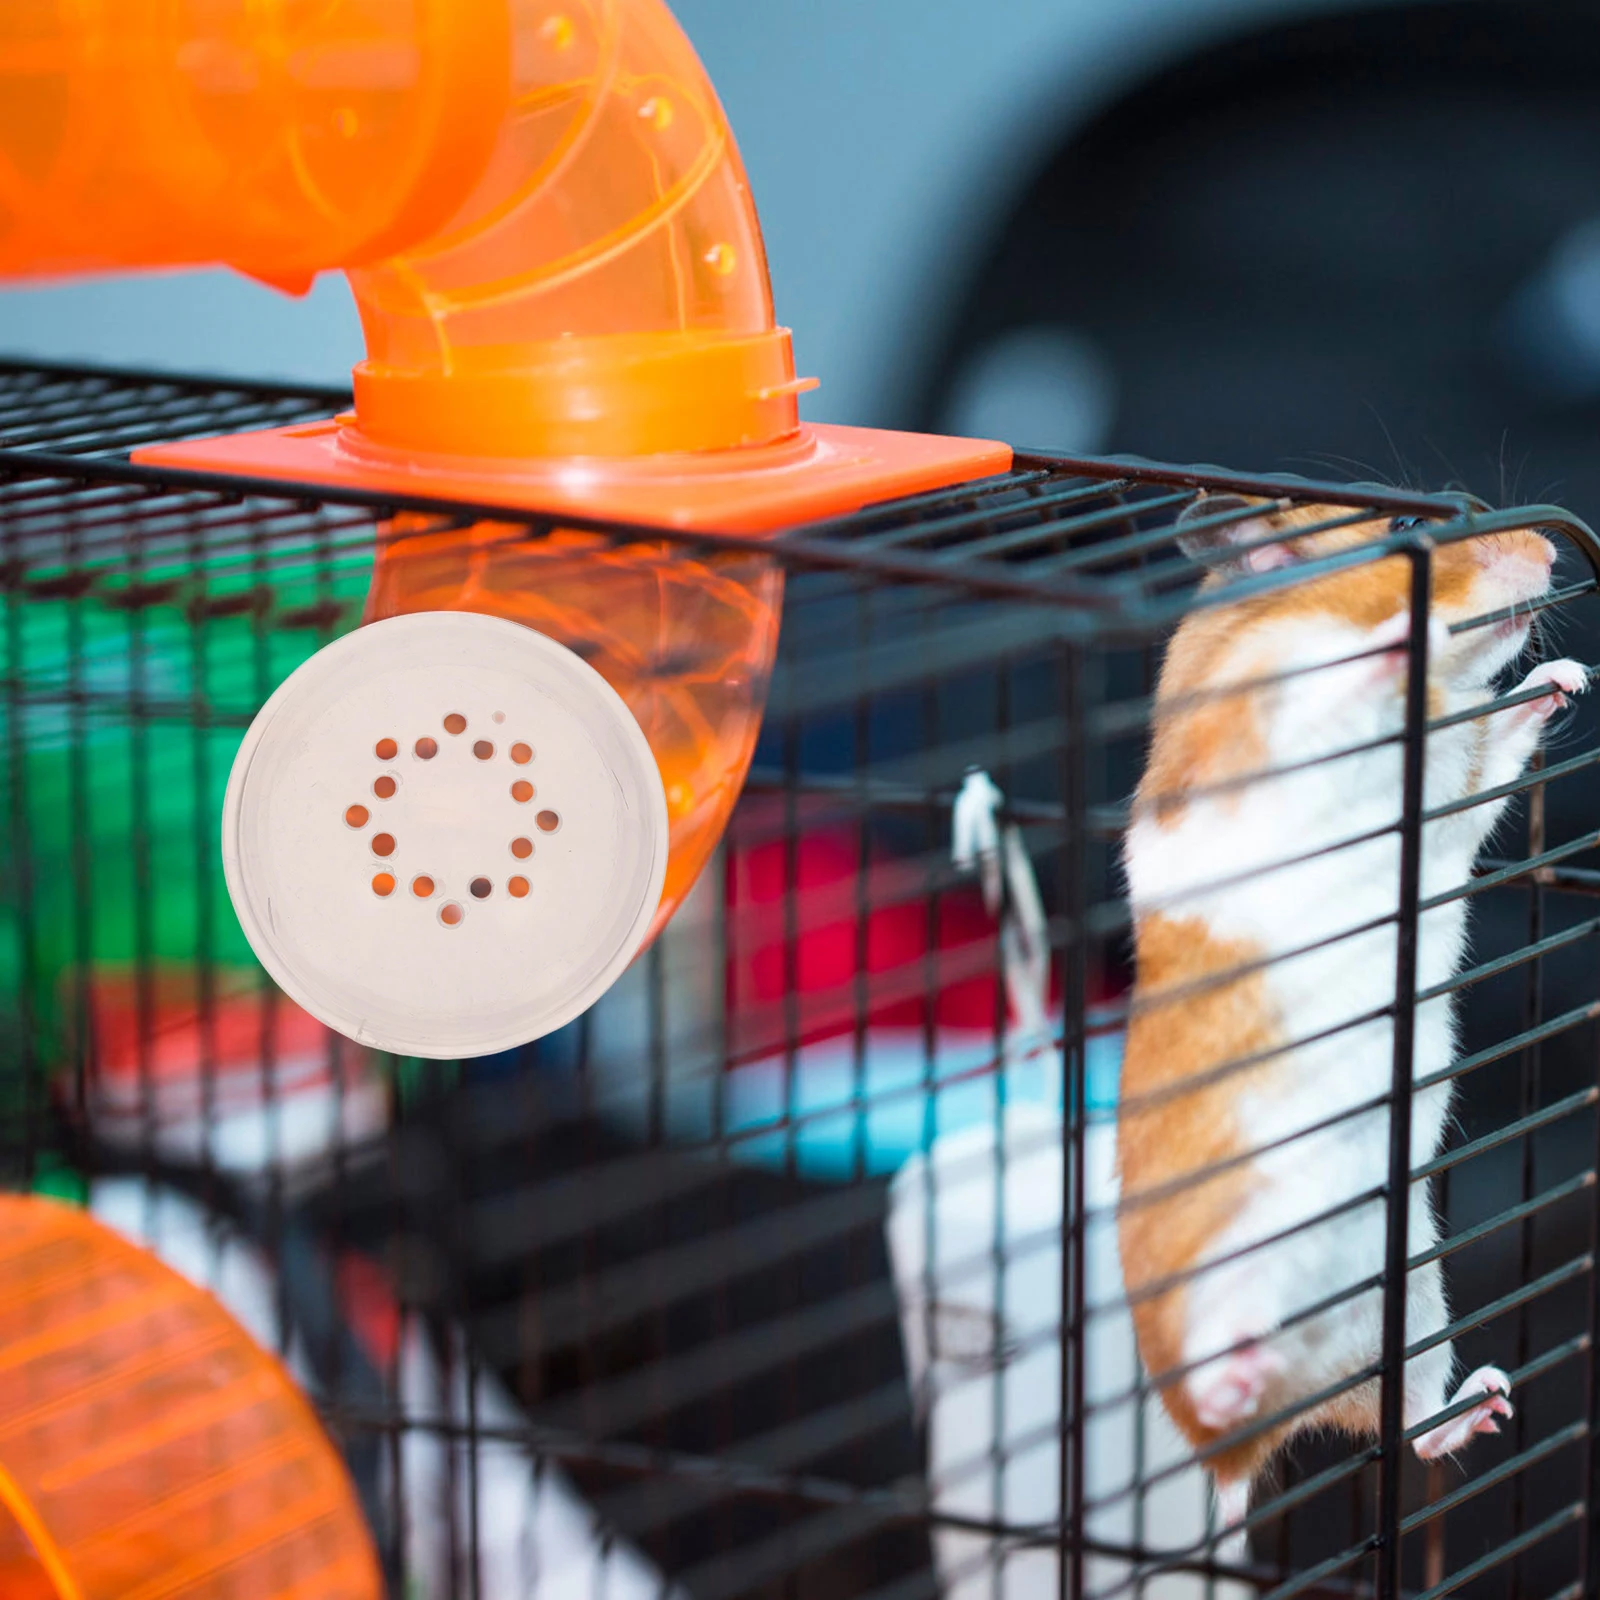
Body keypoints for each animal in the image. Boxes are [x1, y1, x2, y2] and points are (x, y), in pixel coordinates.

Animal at [1115, 495, 1589, 1541]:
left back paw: (1486, 1401)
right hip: (1225, 1276)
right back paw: (1232, 1372)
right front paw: (1403, 635)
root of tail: (1246, 1450)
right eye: (1413, 533)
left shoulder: (1455, 797)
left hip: (1411, 1308)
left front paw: (1567, 677)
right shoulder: (1270, 727)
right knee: (1219, 1385)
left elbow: (1498, 750)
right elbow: (1339, 685)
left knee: (1412, 1430)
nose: (1549, 552)